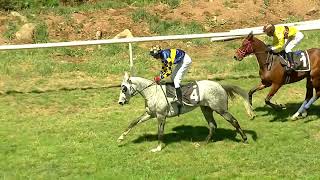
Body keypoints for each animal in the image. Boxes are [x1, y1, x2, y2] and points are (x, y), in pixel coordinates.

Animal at [118, 71, 255, 152]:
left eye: (124, 89)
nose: (120, 102)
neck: (153, 92)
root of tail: (220, 86)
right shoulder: (150, 114)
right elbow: (133, 122)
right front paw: (121, 138)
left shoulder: (161, 116)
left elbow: (160, 132)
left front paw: (158, 148)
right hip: (206, 109)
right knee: (212, 125)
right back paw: (203, 143)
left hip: (220, 109)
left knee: (233, 121)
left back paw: (244, 139)